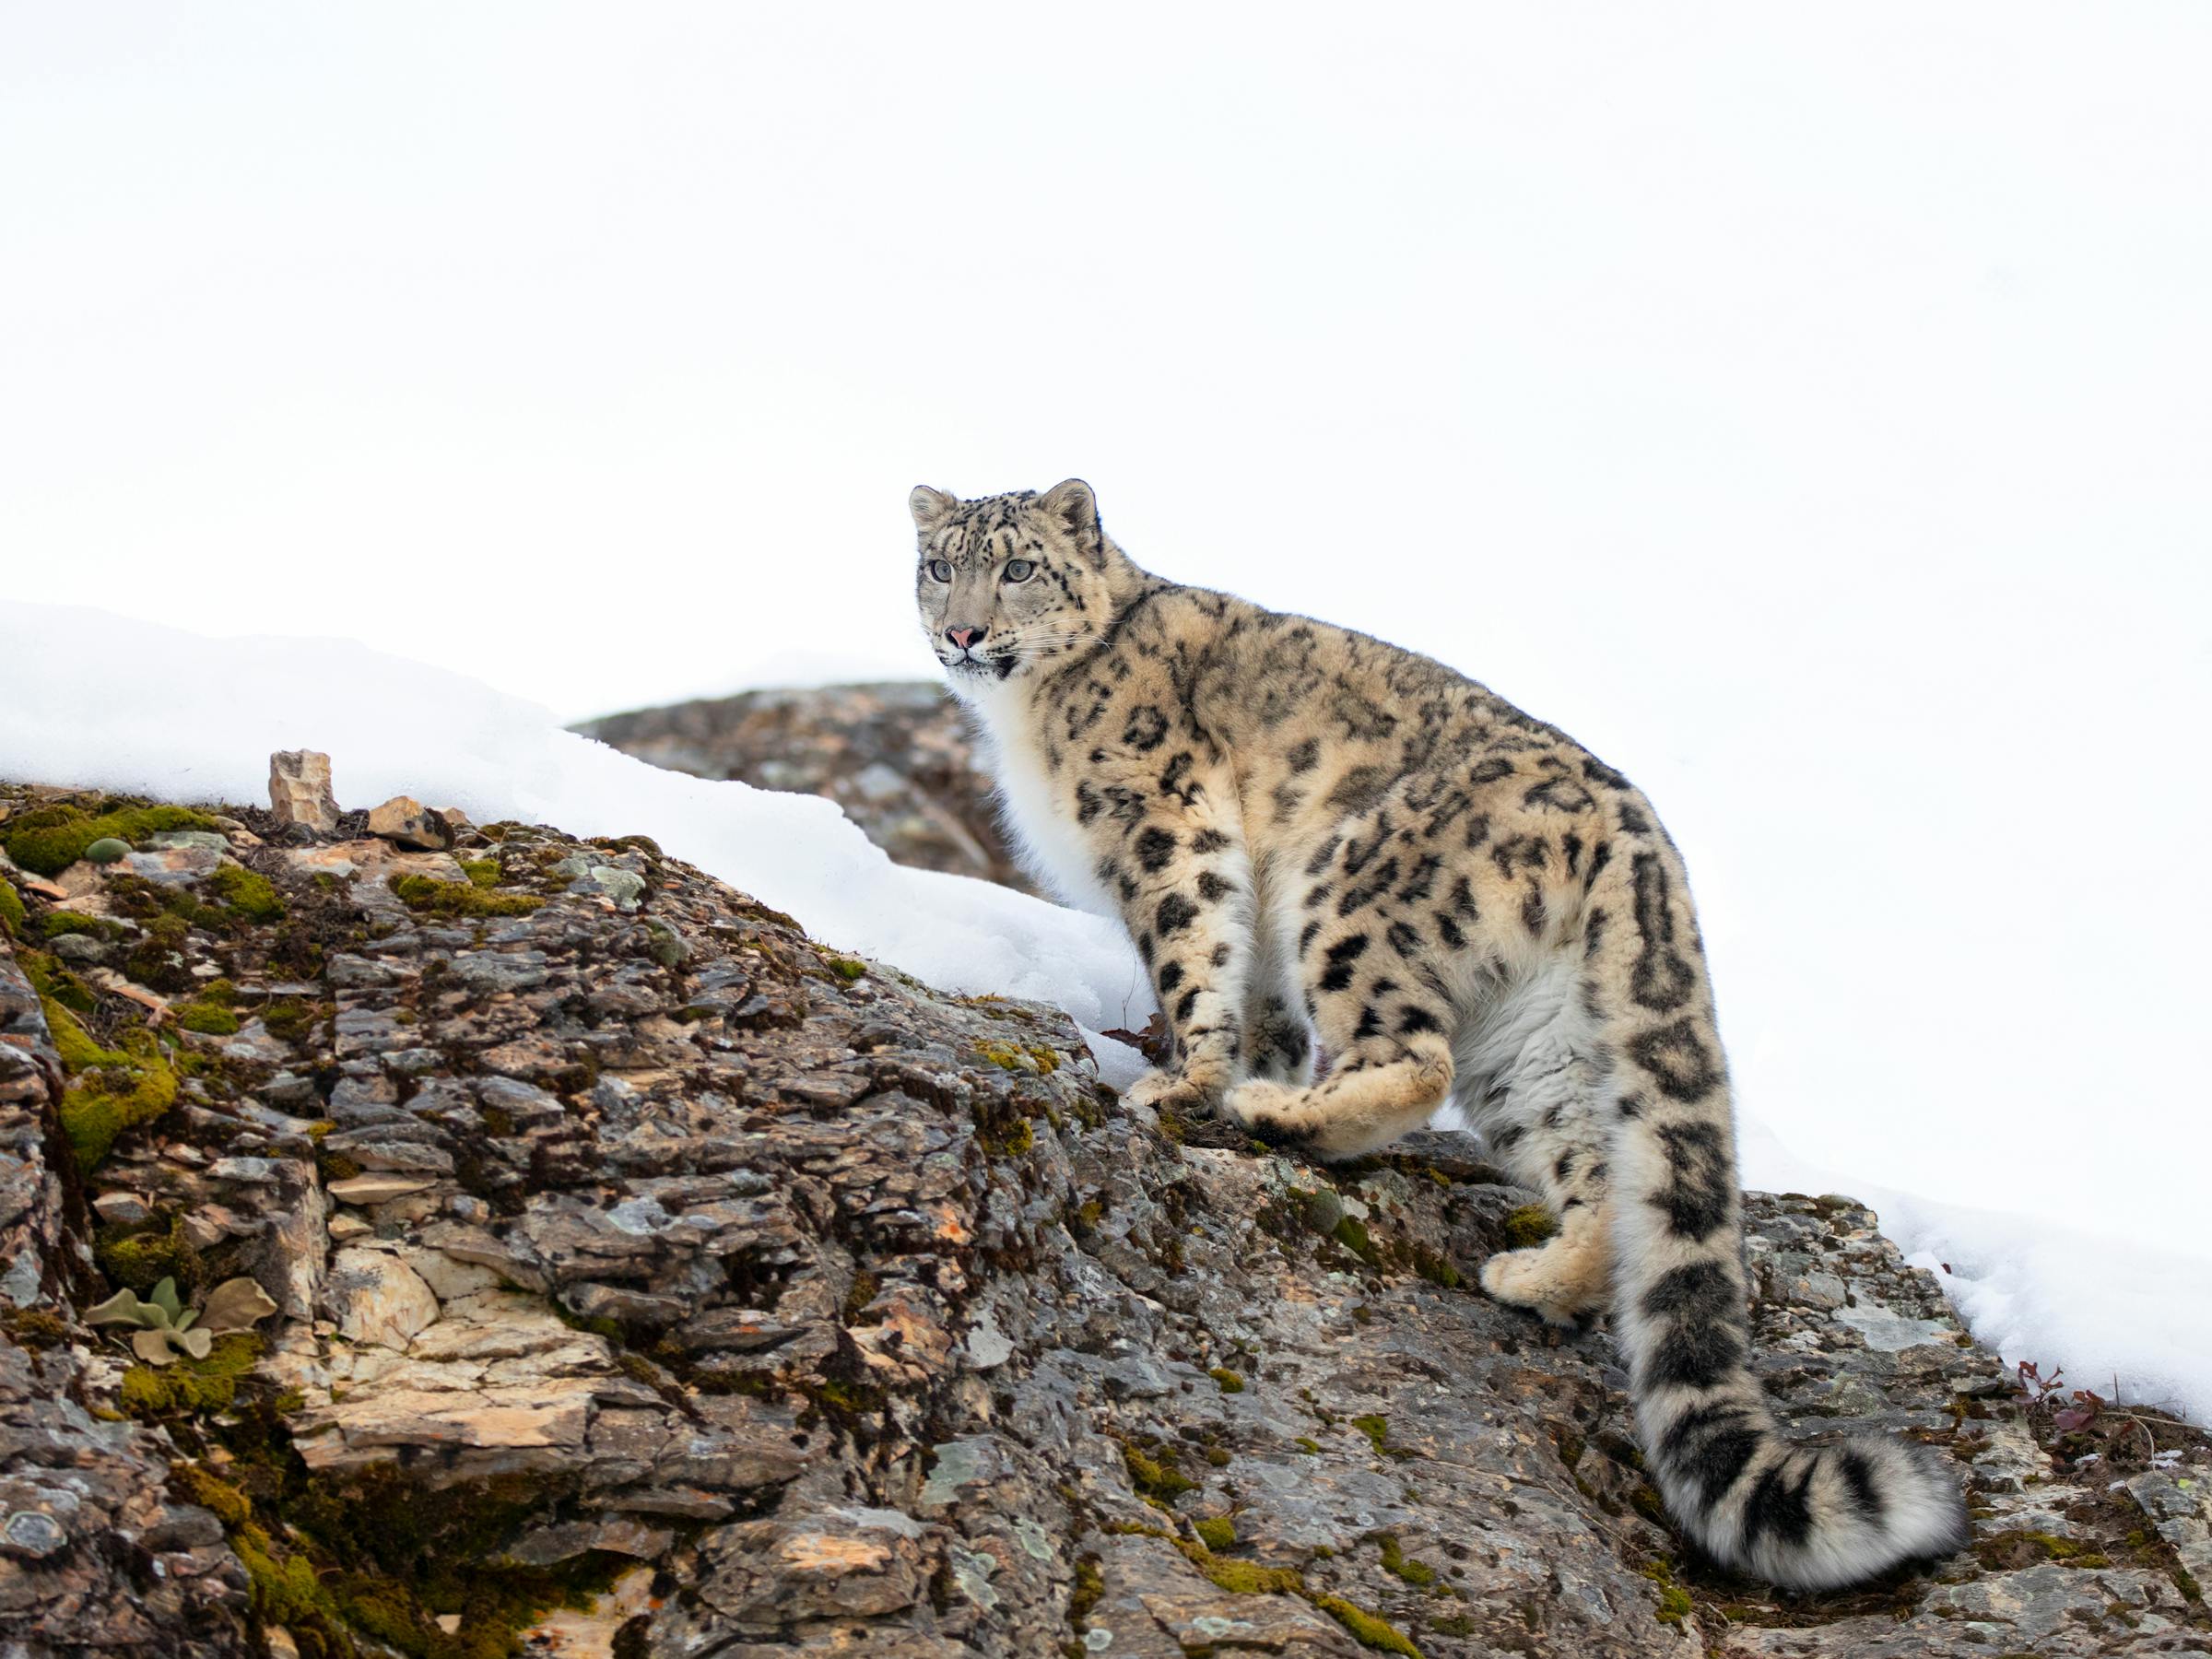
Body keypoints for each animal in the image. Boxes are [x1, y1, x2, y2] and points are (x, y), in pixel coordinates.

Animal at [908, 478, 1966, 1592]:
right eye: (940, 566)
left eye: (1018, 566)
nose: (963, 630)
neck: (1029, 713)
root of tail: (1637, 828)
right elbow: (1259, 1001)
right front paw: (1242, 1068)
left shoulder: (1163, 827)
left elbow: (1196, 953)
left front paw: (1188, 1081)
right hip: (1532, 1029)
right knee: (1590, 1164)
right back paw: (1532, 1276)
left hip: (1350, 896)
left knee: (1414, 1058)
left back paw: (1287, 1118)